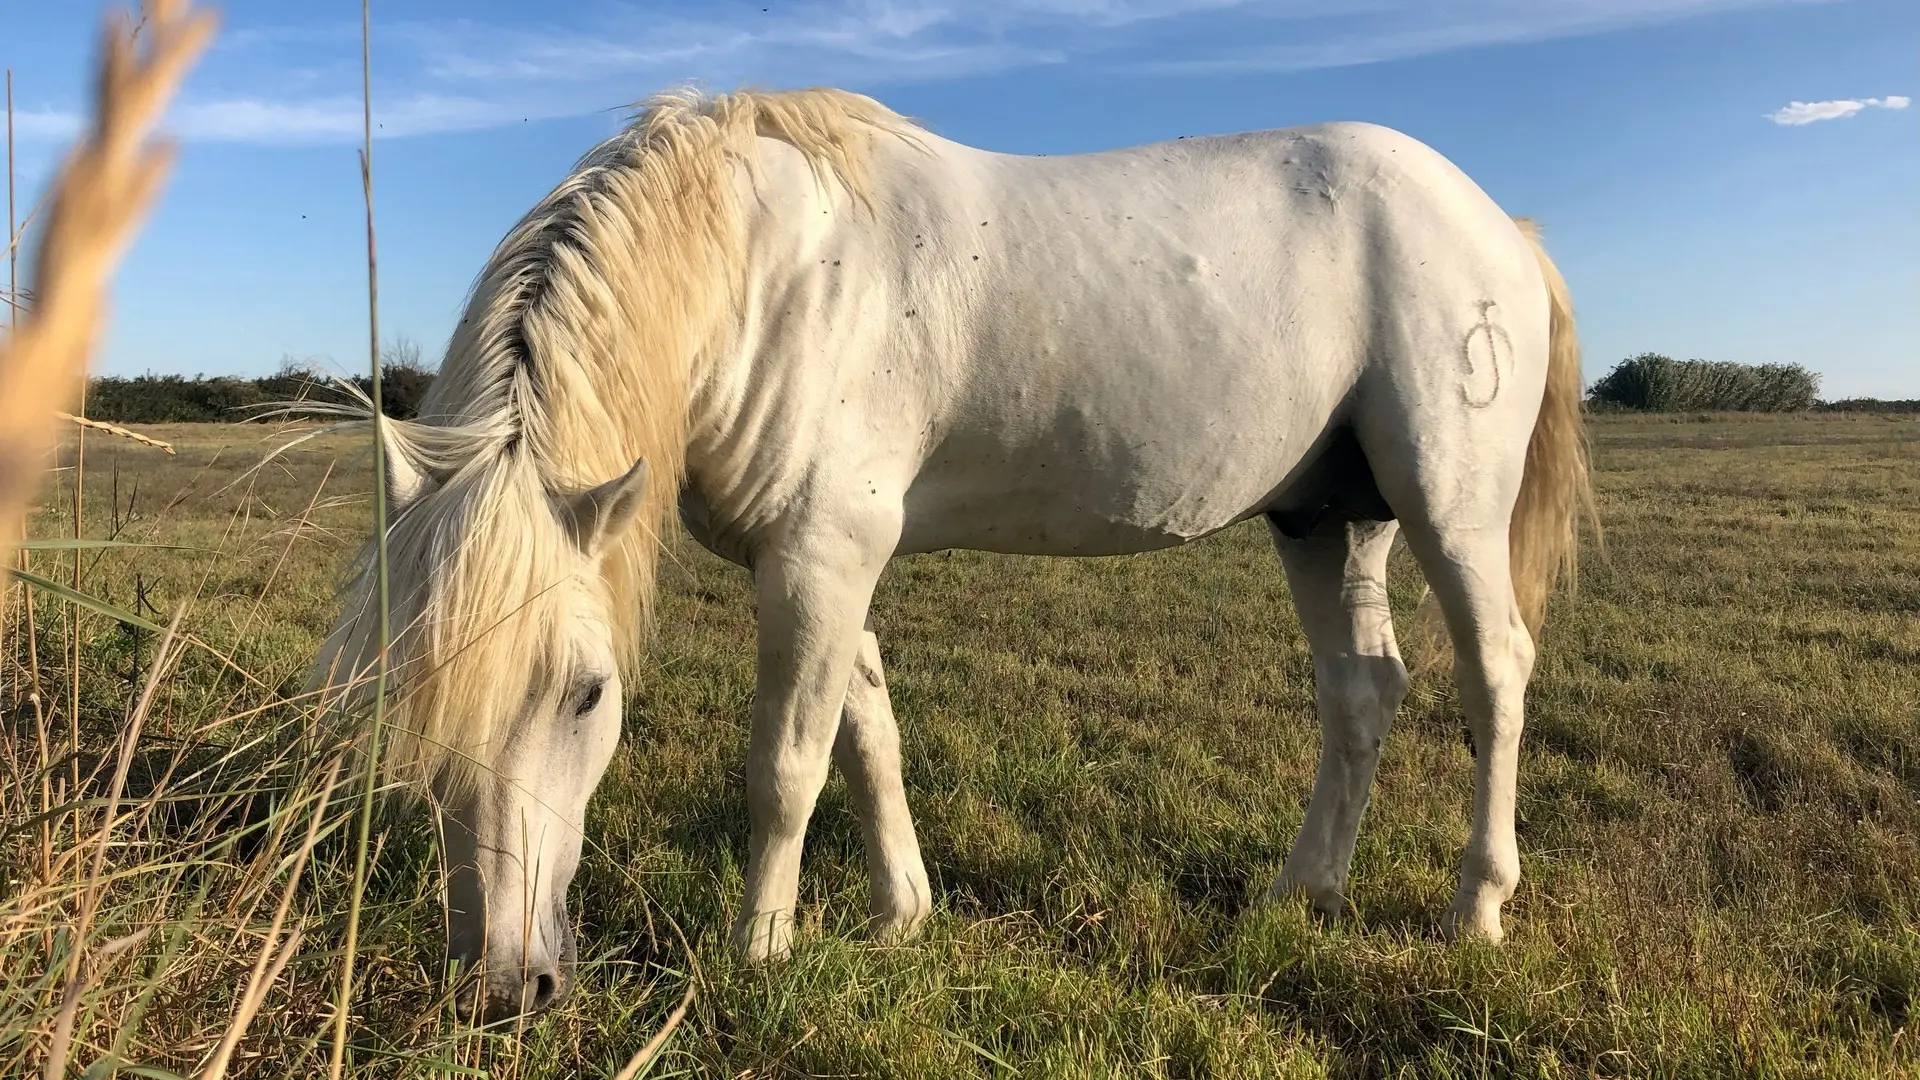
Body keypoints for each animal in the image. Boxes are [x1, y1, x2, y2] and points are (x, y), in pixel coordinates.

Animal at [311, 88, 1589, 1022]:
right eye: (404, 695)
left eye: (588, 694)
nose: (502, 989)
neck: (768, 276)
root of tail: (1503, 228)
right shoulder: (817, 563)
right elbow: (867, 736)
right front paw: (903, 915)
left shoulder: (822, 555)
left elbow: (787, 765)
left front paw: (761, 953)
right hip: (1329, 519)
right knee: (1362, 691)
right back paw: (1301, 894)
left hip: (1448, 506)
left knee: (1496, 674)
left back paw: (1477, 908)